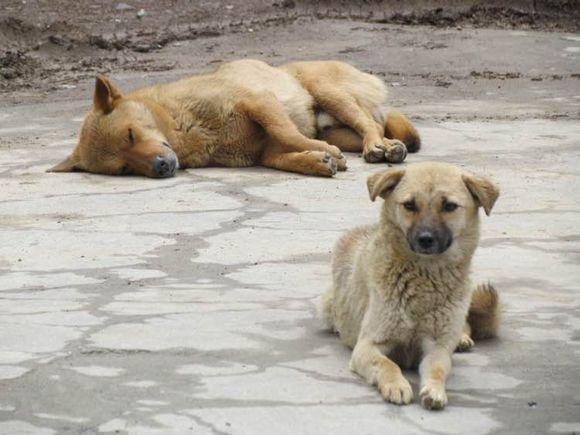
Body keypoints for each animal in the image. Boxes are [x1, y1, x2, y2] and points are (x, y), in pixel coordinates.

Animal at [47, 59, 420, 179]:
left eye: (130, 135)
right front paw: (316, 160)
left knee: (370, 125)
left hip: (328, 92)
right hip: (335, 125)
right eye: (124, 168)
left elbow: (289, 133)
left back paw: (378, 147)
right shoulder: (264, 152)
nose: (161, 167)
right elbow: (286, 156)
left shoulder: (259, 102)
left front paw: (322, 153)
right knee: (372, 129)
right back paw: (384, 147)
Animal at [320, 162, 500, 410]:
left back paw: (462, 338)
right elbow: (387, 364)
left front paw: (434, 390)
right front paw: (396, 385)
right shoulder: (367, 346)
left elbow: (437, 368)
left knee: (464, 326)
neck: (423, 279)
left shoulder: (436, 348)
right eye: (409, 205)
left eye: (449, 206)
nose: (425, 239)